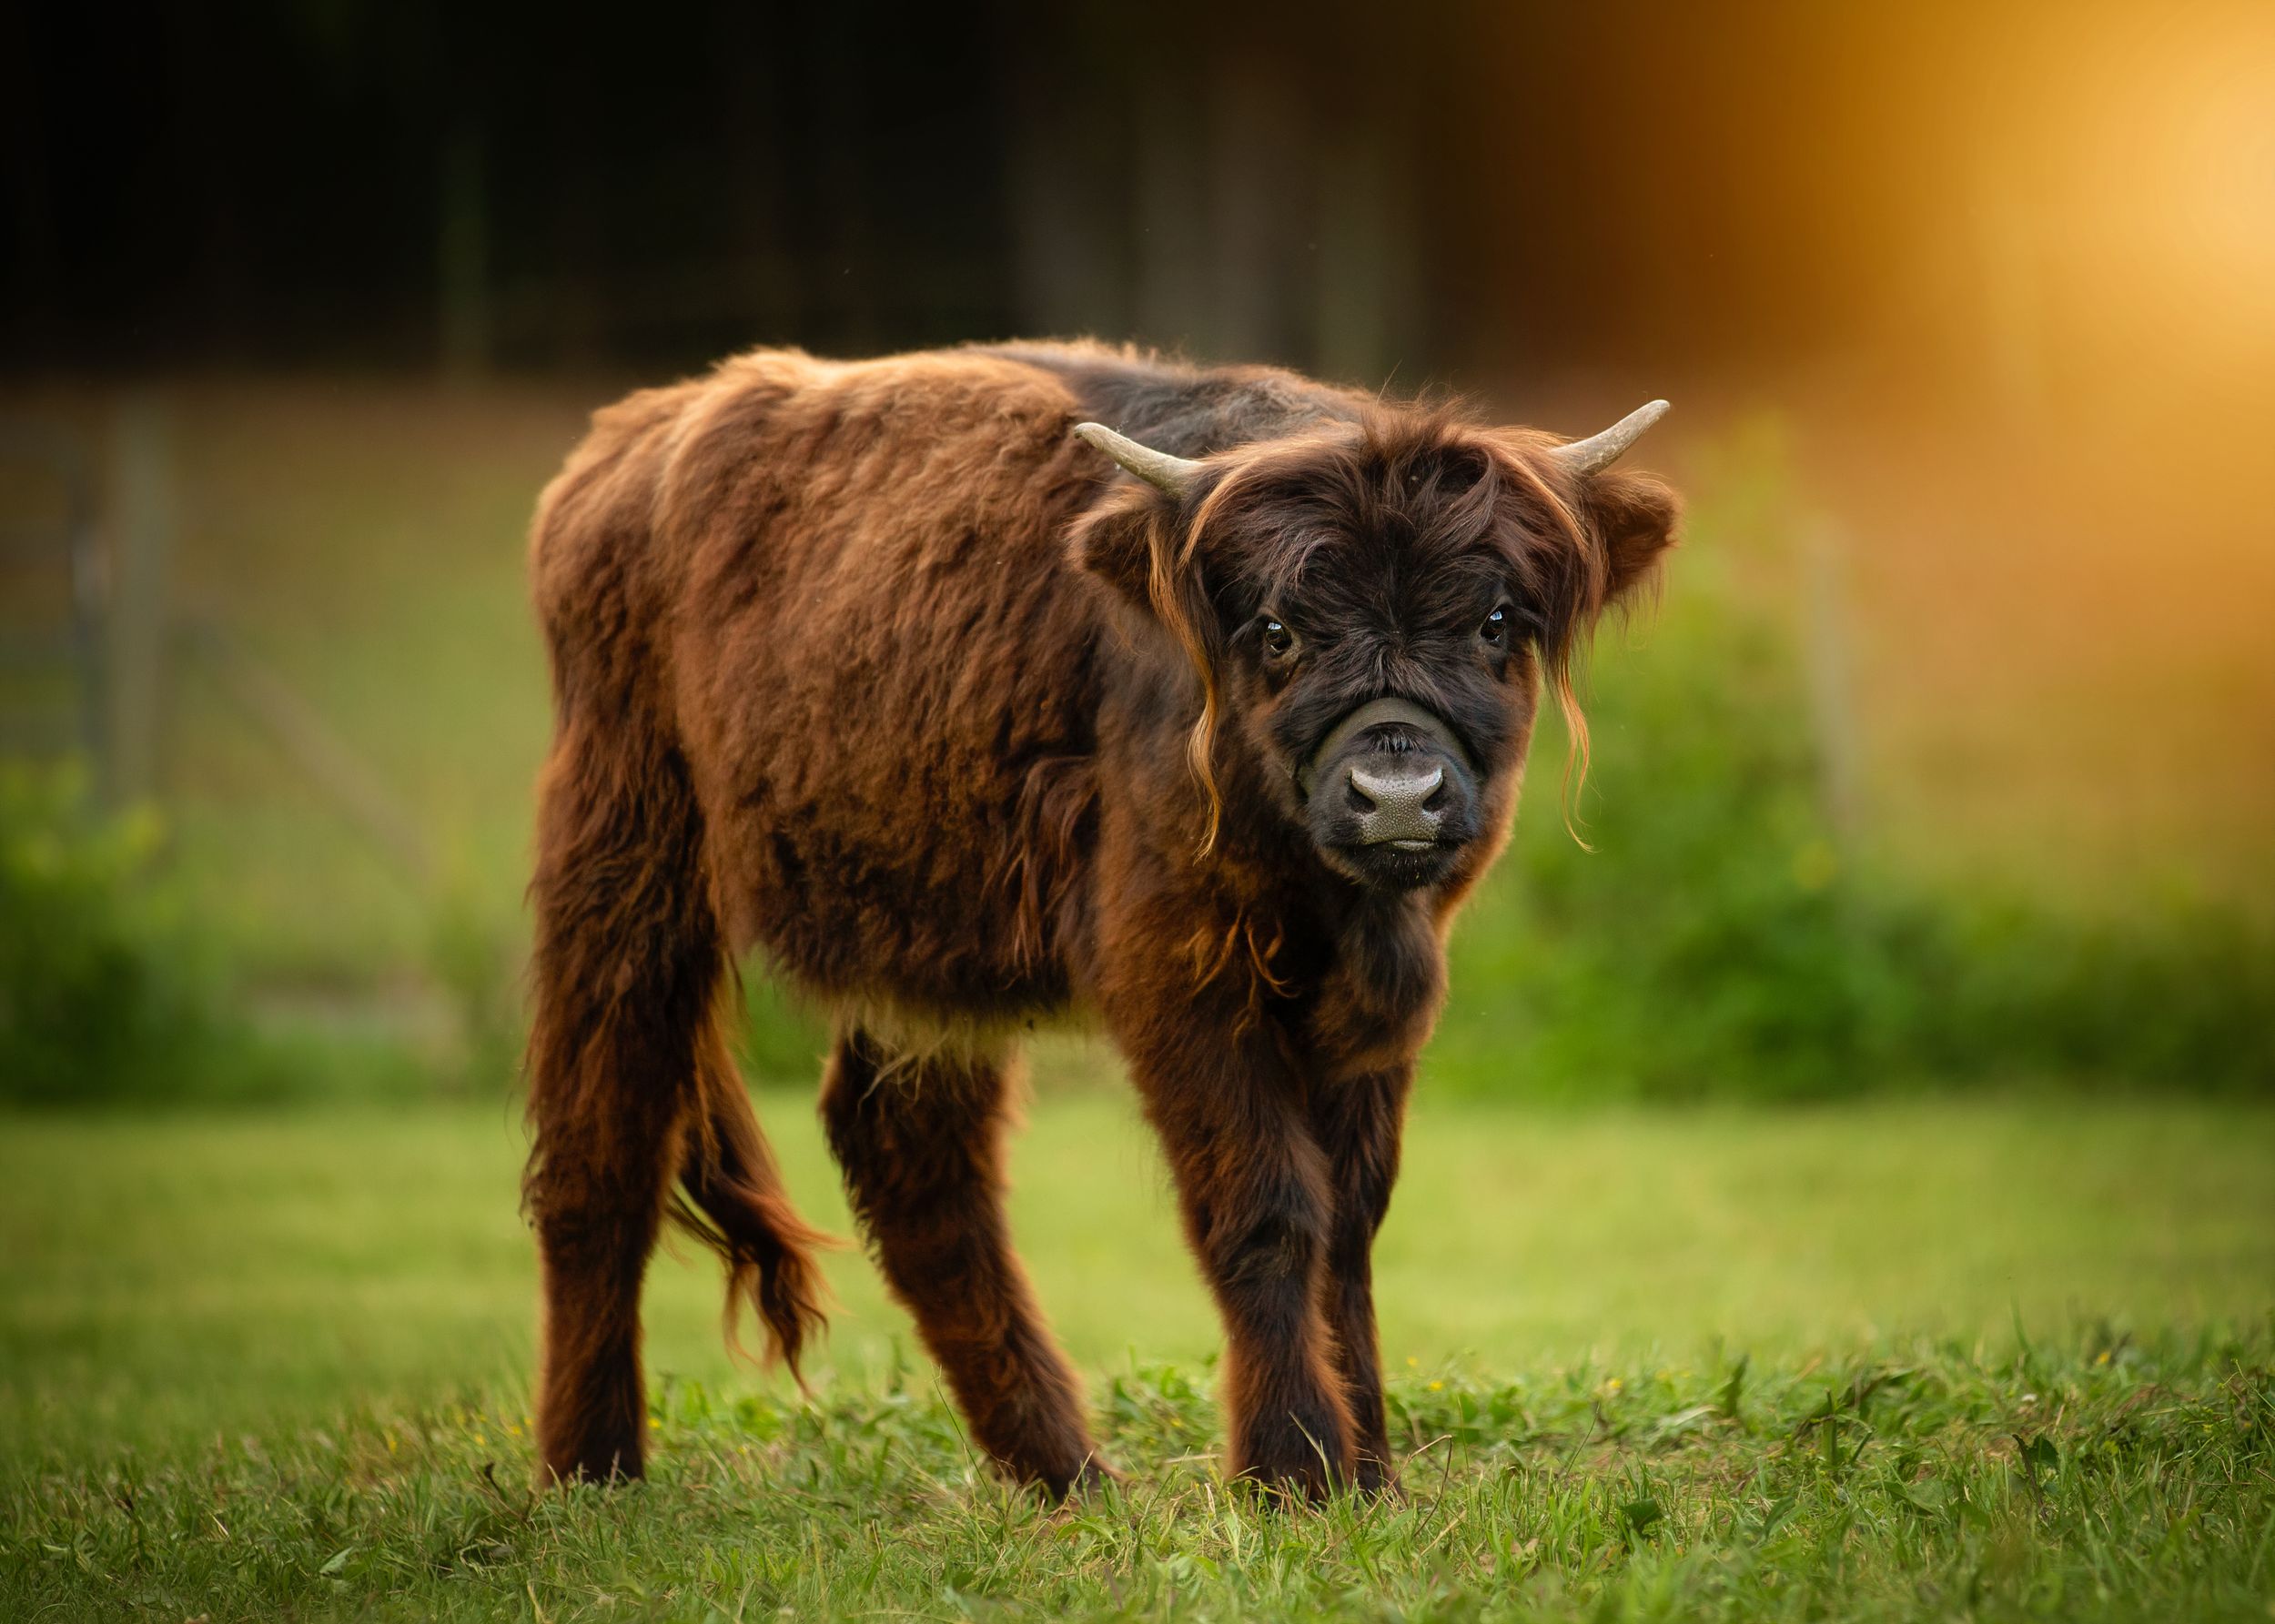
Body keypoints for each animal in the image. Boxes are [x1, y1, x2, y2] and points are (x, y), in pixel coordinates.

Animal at [521, 339, 1677, 1499]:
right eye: (1277, 631)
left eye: (1494, 622)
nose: (1396, 793)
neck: (1326, 897)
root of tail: (629, 446)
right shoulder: (1173, 967)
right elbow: (1265, 1209)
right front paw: (1292, 1470)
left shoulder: (1378, 993)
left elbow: (1349, 1223)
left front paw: (1371, 1475)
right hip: (624, 852)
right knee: (602, 1145)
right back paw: (593, 1467)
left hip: (925, 939)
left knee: (911, 1161)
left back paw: (1065, 1474)